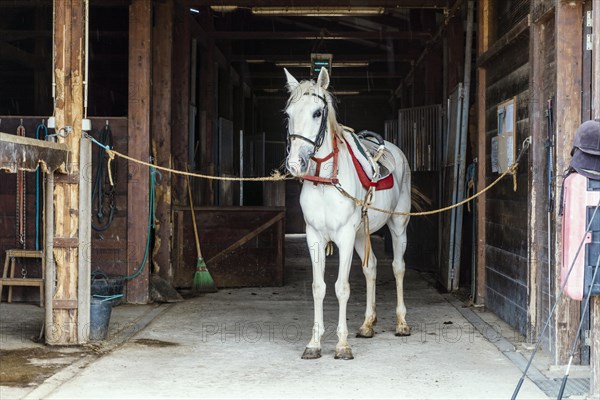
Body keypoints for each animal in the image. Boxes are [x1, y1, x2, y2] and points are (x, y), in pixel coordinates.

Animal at [284, 67, 410, 360]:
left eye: (317, 112)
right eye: (289, 114)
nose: (295, 164)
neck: (326, 181)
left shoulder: (344, 236)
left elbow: (341, 288)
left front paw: (342, 346)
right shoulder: (314, 236)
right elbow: (318, 288)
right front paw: (314, 344)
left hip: (398, 224)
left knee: (398, 267)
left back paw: (401, 323)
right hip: (362, 233)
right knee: (370, 267)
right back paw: (367, 325)